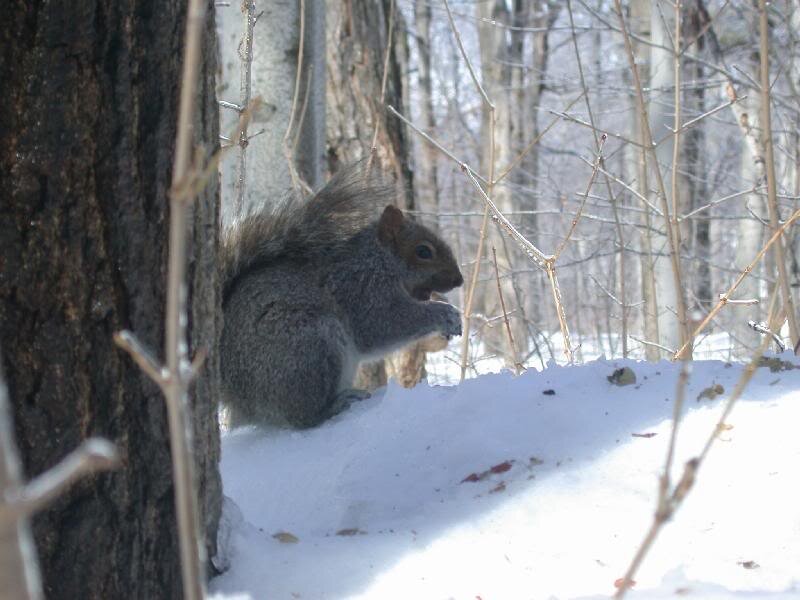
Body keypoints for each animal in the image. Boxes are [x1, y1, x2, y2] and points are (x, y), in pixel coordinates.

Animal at [220, 168, 464, 429]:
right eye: (423, 251)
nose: (459, 280)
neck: (379, 260)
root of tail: (237, 397)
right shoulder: (362, 290)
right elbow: (386, 324)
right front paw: (445, 314)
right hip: (309, 345)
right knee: (301, 417)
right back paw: (335, 405)